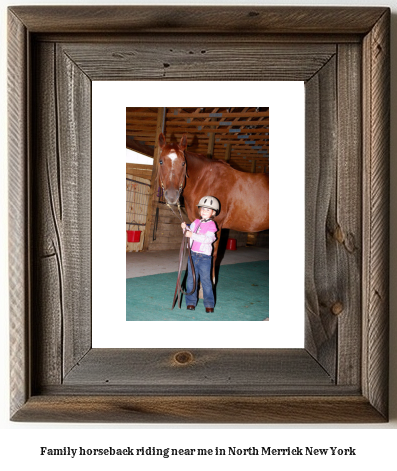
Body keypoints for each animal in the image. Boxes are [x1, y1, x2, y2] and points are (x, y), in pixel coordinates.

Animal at [158, 133, 270, 282]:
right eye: (160, 161)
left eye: (183, 163)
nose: (172, 196)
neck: (204, 180)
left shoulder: (216, 226)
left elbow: (212, 256)